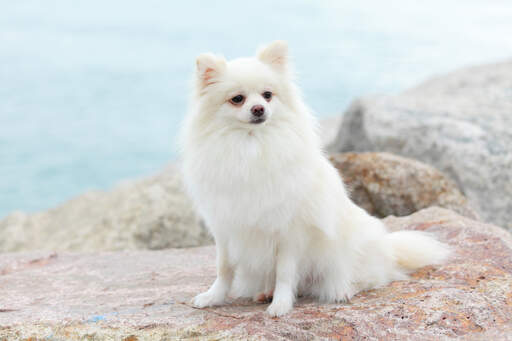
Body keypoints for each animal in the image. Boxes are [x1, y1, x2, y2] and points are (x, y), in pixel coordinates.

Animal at [179, 41, 448, 314]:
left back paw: (343, 290)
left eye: (267, 95)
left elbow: (285, 273)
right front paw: (213, 297)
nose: (259, 109)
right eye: (237, 99)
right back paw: (266, 292)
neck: (251, 145)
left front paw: (281, 305)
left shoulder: (289, 231)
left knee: (368, 277)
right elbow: (224, 268)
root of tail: (389, 247)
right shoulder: (225, 227)